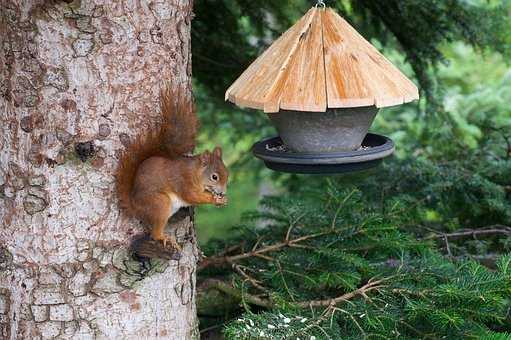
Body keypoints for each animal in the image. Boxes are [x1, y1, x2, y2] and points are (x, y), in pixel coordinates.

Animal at [117, 83, 229, 251]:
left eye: (227, 174)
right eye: (214, 177)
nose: (222, 192)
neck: (195, 173)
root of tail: (135, 206)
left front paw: (222, 199)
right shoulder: (183, 181)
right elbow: (192, 196)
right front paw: (214, 199)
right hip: (159, 203)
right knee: (155, 233)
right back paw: (165, 238)